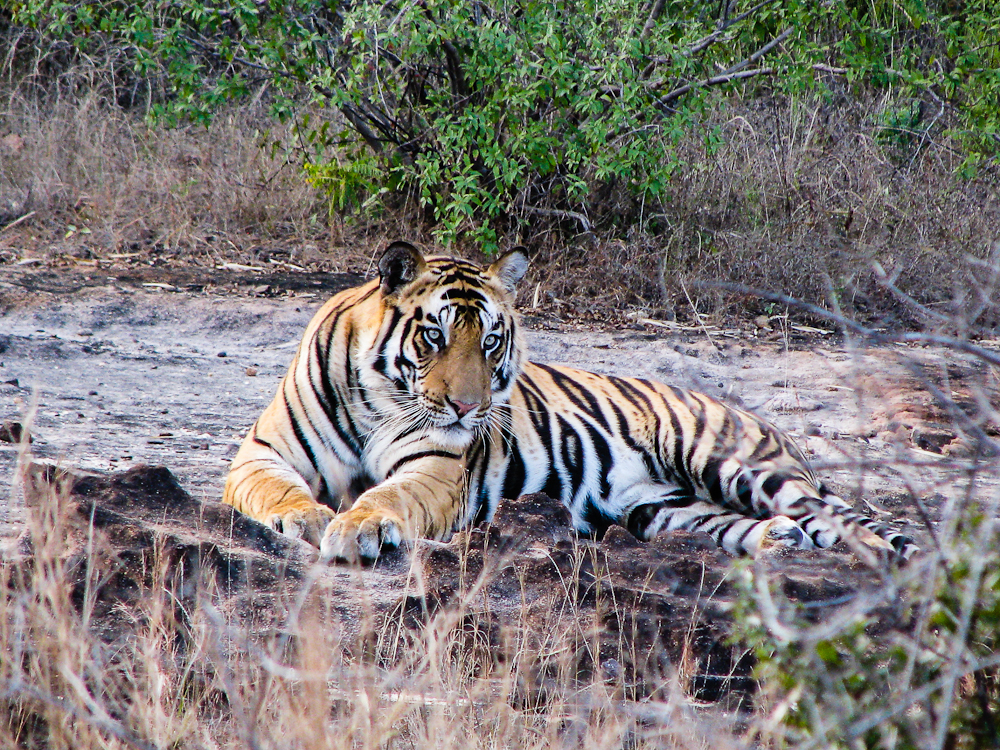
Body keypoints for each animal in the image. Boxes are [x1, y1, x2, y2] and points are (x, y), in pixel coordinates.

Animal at [223, 241, 917, 564]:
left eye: (491, 341)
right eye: (434, 336)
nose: (467, 410)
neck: (379, 395)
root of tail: (770, 425)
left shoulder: (436, 469)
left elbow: (387, 497)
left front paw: (358, 527)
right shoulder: (262, 452)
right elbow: (275, 491)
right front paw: (307, 519)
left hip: (733, 465)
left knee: (846, 524)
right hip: (662, 510)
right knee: (748, 527)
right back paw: (779, 542)